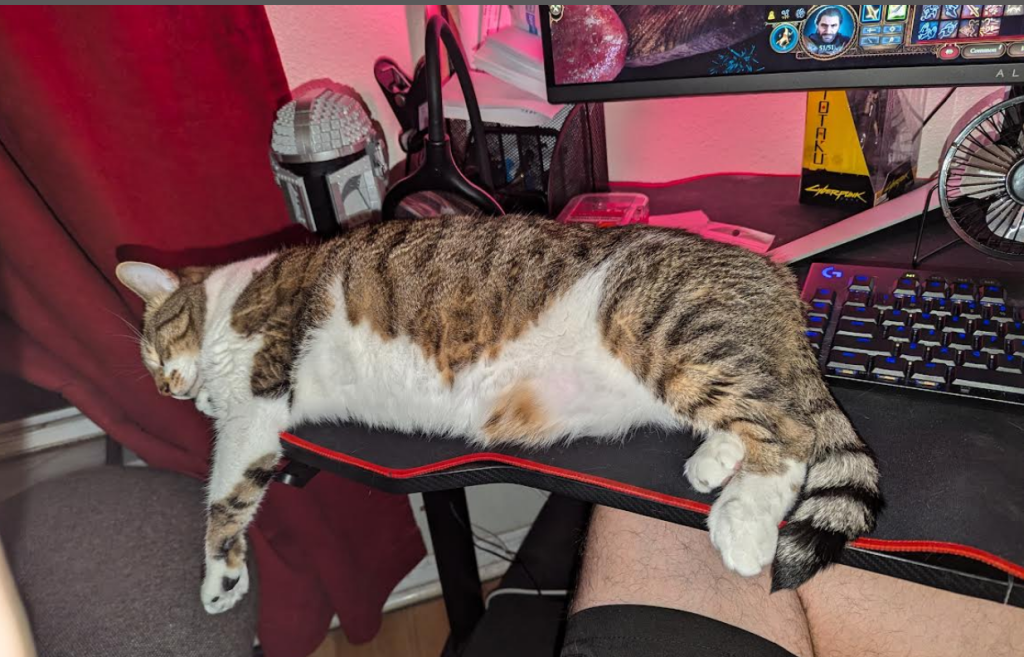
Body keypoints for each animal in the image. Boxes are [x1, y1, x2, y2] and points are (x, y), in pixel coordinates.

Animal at [112, 214, 880, 614]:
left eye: (152, 351)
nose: (172, 394)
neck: (228, 300)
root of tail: (774, 275)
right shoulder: (258, 418)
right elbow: (231, 490)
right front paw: (224, 577)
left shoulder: (260, 392)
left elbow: (222, 492)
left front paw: (217, 579)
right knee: (752, 416)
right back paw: (713, 463)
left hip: (666, 333)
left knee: (791, 430)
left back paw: (743, 525)